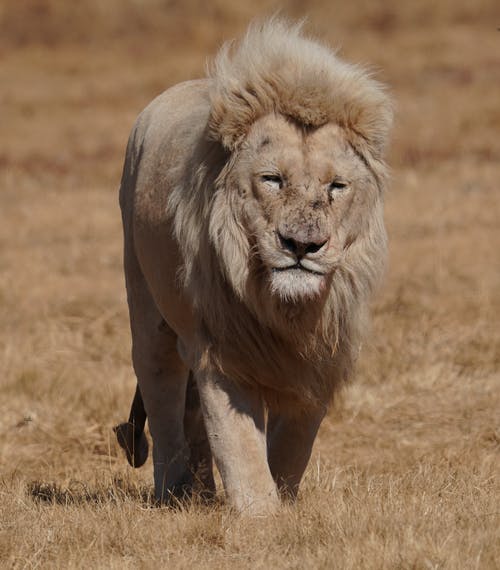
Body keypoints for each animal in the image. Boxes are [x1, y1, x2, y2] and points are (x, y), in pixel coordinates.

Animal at [115, 18, 392, 516]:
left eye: (336, 186)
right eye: (272, 179)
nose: (302, 245)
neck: (284, 309)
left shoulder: (320, 357)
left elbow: (294, 444)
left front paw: (285, 502)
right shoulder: (223, 348)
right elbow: (238, 443)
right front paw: (260, 514)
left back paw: (201, 493)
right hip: (148, 308)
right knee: (163, 397)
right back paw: (175, 491)